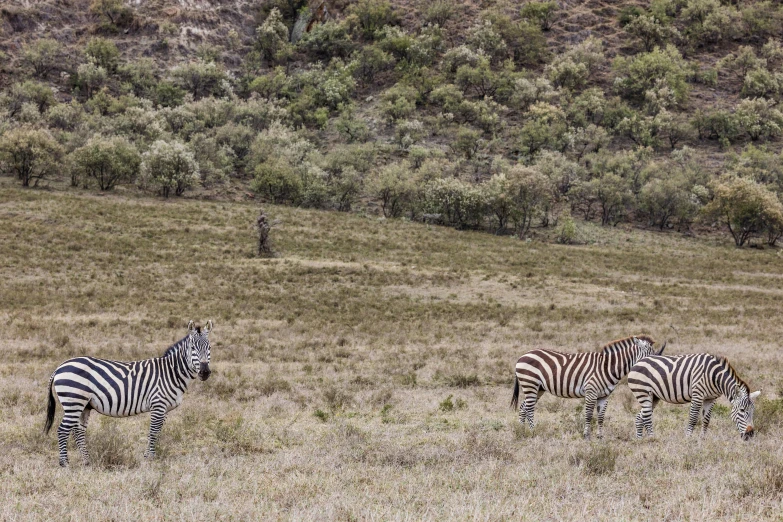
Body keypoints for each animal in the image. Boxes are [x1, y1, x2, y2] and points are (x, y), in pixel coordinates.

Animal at [43, 318, 213, 466]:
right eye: (192, 348)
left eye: (209, 348)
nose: (205, 372)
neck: (171, 372)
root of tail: (59, 367)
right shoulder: (158, 405)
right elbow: (153, 432)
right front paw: (149, 459)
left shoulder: (164, 409)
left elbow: (157, 432)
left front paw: (150, 456)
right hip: (74, 401)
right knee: (63, 430)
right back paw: (64, 463)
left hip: (84, 405)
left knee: (78, 431)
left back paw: (86, 461)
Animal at [516, 334, 668, 438]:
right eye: (649, 355)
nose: (655, 370)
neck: (607, 367)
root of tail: (523, 355)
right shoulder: (591, 391)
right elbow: (589, 414)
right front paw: (586, 436)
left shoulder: (604, 395)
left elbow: (601, 416)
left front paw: (600, 436)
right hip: (530, 384)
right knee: (529, 408)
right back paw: (533, 431)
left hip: (538, 388)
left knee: (524, 407)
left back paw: (522, 431)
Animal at [628, 350, 764, 438]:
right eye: (742, 410)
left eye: (753, 411)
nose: (750, 435)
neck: (715, 377)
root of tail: (638, 362)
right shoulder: (698, 395)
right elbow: (693, 418)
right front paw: (688, 439)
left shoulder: (711, 398)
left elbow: (706, 420)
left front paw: (702, 439)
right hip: (643, 392)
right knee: (646, 417)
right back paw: (653, 439)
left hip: (654, 397)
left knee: (640, 417)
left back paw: (641, 440)